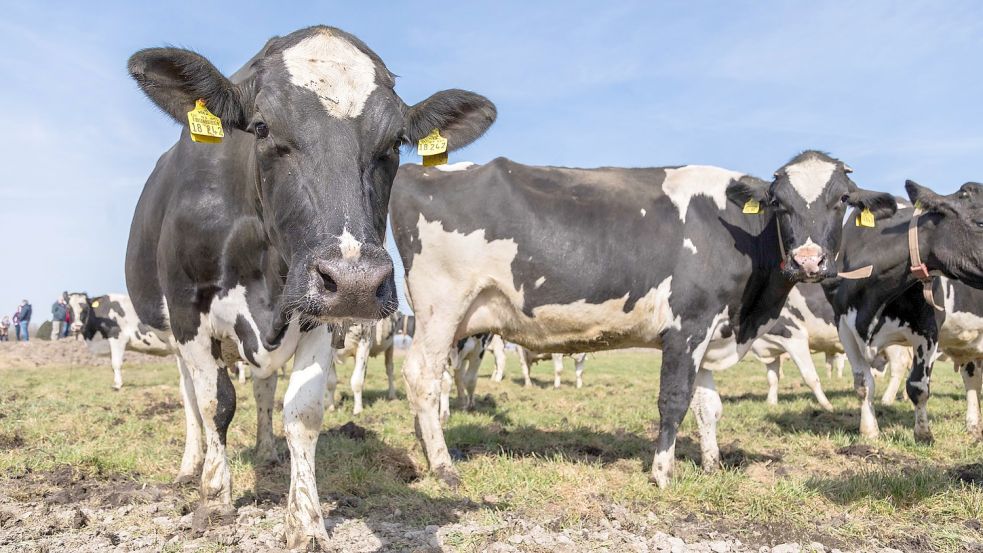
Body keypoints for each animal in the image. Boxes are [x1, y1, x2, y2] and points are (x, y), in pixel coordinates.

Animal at [388, 151, 896, 488]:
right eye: (779, 203)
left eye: (842, 199)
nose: (809, 262)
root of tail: (419, 169)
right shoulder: (688, 325)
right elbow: (673, 401)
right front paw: (662, 473)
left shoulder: (710, 332)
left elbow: (709, 406)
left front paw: (712, 465)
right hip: (441, 306)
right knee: (422, 377)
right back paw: (443, 466)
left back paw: (427, 448)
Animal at [832, 182, 983, 444]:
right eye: (981, 223)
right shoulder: (843, 327)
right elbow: (862, 383)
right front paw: (869, 431)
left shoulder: (928, 329)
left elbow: (917, 386)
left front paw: (923, 434)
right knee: (972, 378)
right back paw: (973, 427)